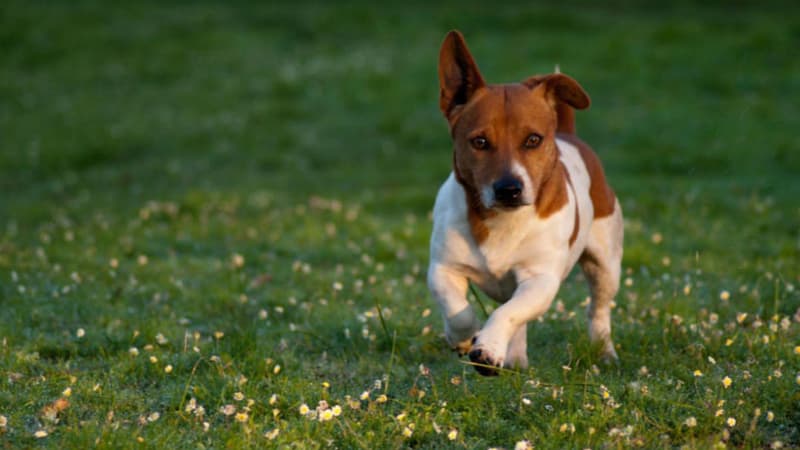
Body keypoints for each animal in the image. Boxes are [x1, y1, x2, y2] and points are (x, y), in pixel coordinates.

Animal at [428, 30, 620, 376]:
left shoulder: (539, 280)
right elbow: (458, 310)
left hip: (606, 264)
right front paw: (463, 338)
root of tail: (569, 134)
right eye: (479, 142)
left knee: (598, 310)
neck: (500, 221)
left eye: (533, 140)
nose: (509, 189)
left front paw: (487, 348)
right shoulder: (443, 268)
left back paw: (604, 352)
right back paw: (514, 359)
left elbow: (507, 313)